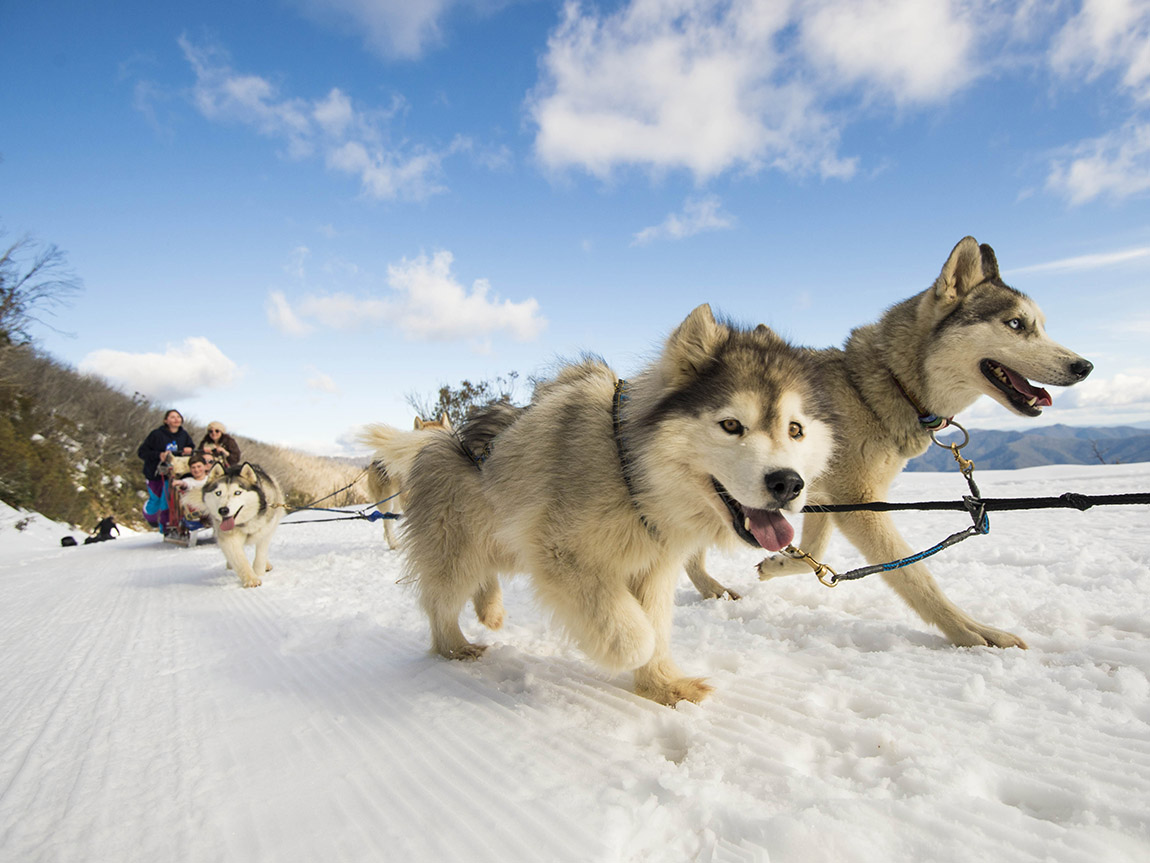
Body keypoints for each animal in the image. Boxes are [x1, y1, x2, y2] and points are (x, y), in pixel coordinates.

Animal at [200, 462, 285, 593]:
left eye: (237, 492)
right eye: (218, 493)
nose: (223, 510)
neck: (245, 523)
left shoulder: (266, 531)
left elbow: (261, 554)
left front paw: (258, 572)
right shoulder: (229, 539)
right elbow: (239, 560)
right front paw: (251, 580)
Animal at [404, 308, 837, 704]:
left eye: (795, 430)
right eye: (731, 425)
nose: (788, 483)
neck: (632, 473)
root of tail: (449, 439)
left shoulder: (654, 568)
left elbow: (656, 625)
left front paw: (662, 686)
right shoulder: (562, 557)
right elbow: (637, 635)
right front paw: (629, 658)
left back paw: (488, 612)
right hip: (458, 557)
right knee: (439, 604)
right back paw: (456, 646)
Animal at [685, 237, 1090, 648]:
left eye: (1040, 326)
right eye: (1015, 324)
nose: (1084, 367)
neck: (880, 385)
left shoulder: (830, 498)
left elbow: (813, 550)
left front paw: (779, 563)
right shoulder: (859, 503)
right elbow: (915, 577)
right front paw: (973, 634)